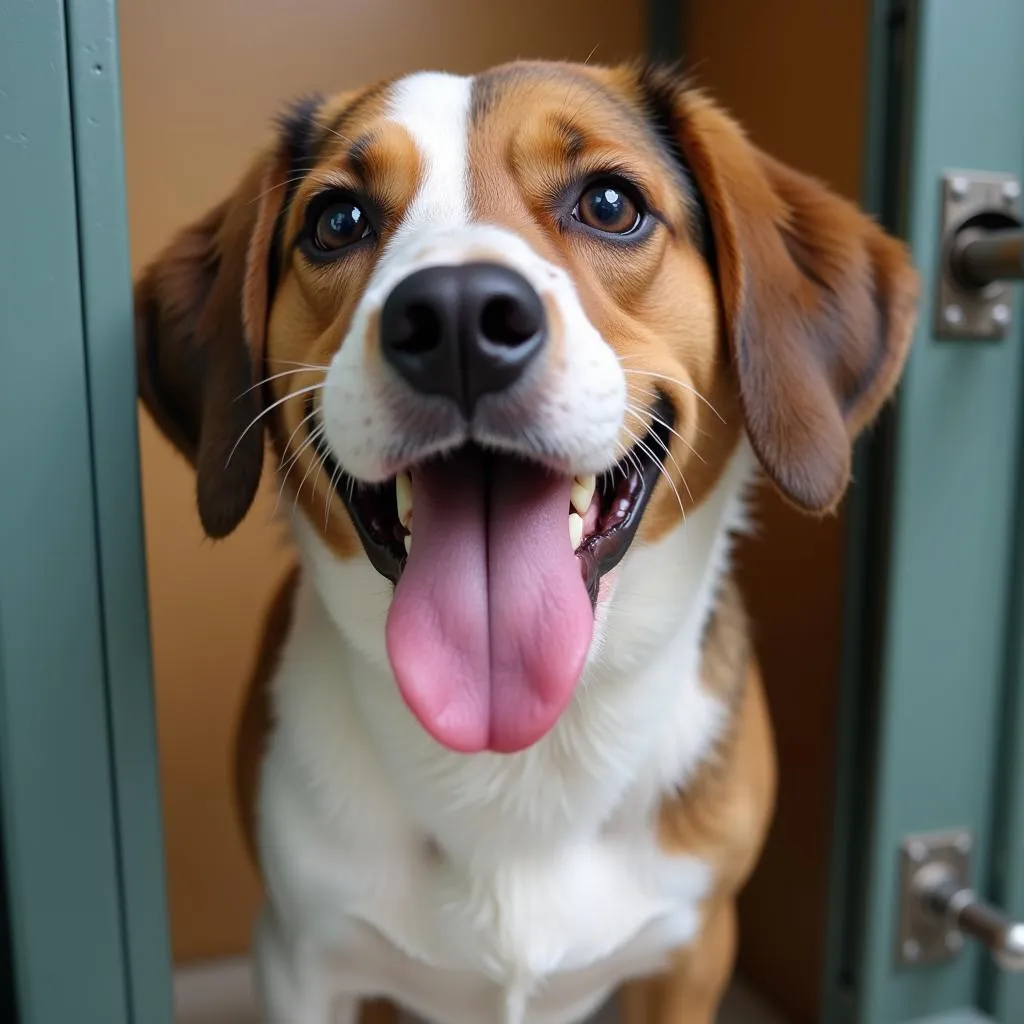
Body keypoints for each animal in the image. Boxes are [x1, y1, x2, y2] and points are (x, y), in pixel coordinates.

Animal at [130, 59, 921, 1019]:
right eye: (337, 221)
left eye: (611, 204)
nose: (457, 318)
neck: (521, 755)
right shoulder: (299, 956)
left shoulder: (691, 950)